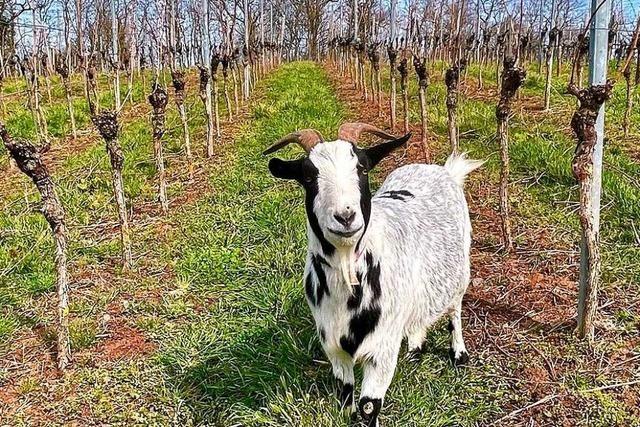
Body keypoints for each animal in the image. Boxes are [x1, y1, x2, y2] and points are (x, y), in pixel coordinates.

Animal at [264, 122, 480, 426]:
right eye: (308, 176)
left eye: (362, 168)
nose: (345, 216)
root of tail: (444, 170)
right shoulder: (334, 348)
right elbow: (345, 396)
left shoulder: (382, 350)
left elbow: (368, 407)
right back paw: (415, 347)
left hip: (460, 271)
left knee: (455, 309)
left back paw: (458, 353)